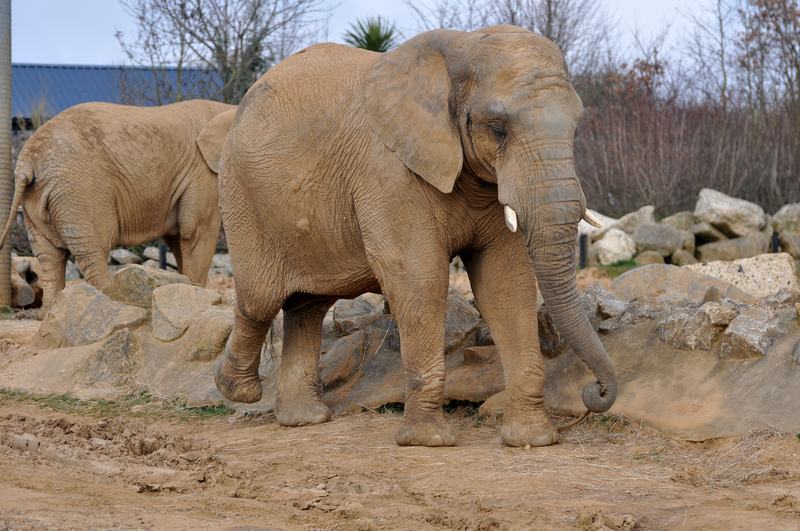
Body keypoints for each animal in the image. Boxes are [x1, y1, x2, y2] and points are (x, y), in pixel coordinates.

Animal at [0, 99, 236, 307]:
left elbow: (179, 238)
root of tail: (26, 161)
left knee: (50, 258)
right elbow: (196, 231)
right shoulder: (203, 172)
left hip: (38, 198)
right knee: (93, 253)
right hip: (80, 190)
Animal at [215, 25, 618, 447]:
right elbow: (419, 275)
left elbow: (505, 280)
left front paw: (532, 440)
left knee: (308, 305)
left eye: (576, 129)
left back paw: (304, 419)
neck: (460, 48)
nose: (594, 392)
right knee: (260, 298)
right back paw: (237, 390)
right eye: (498, 129)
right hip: (242, 196)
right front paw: (430, 441)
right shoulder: (388, 170)